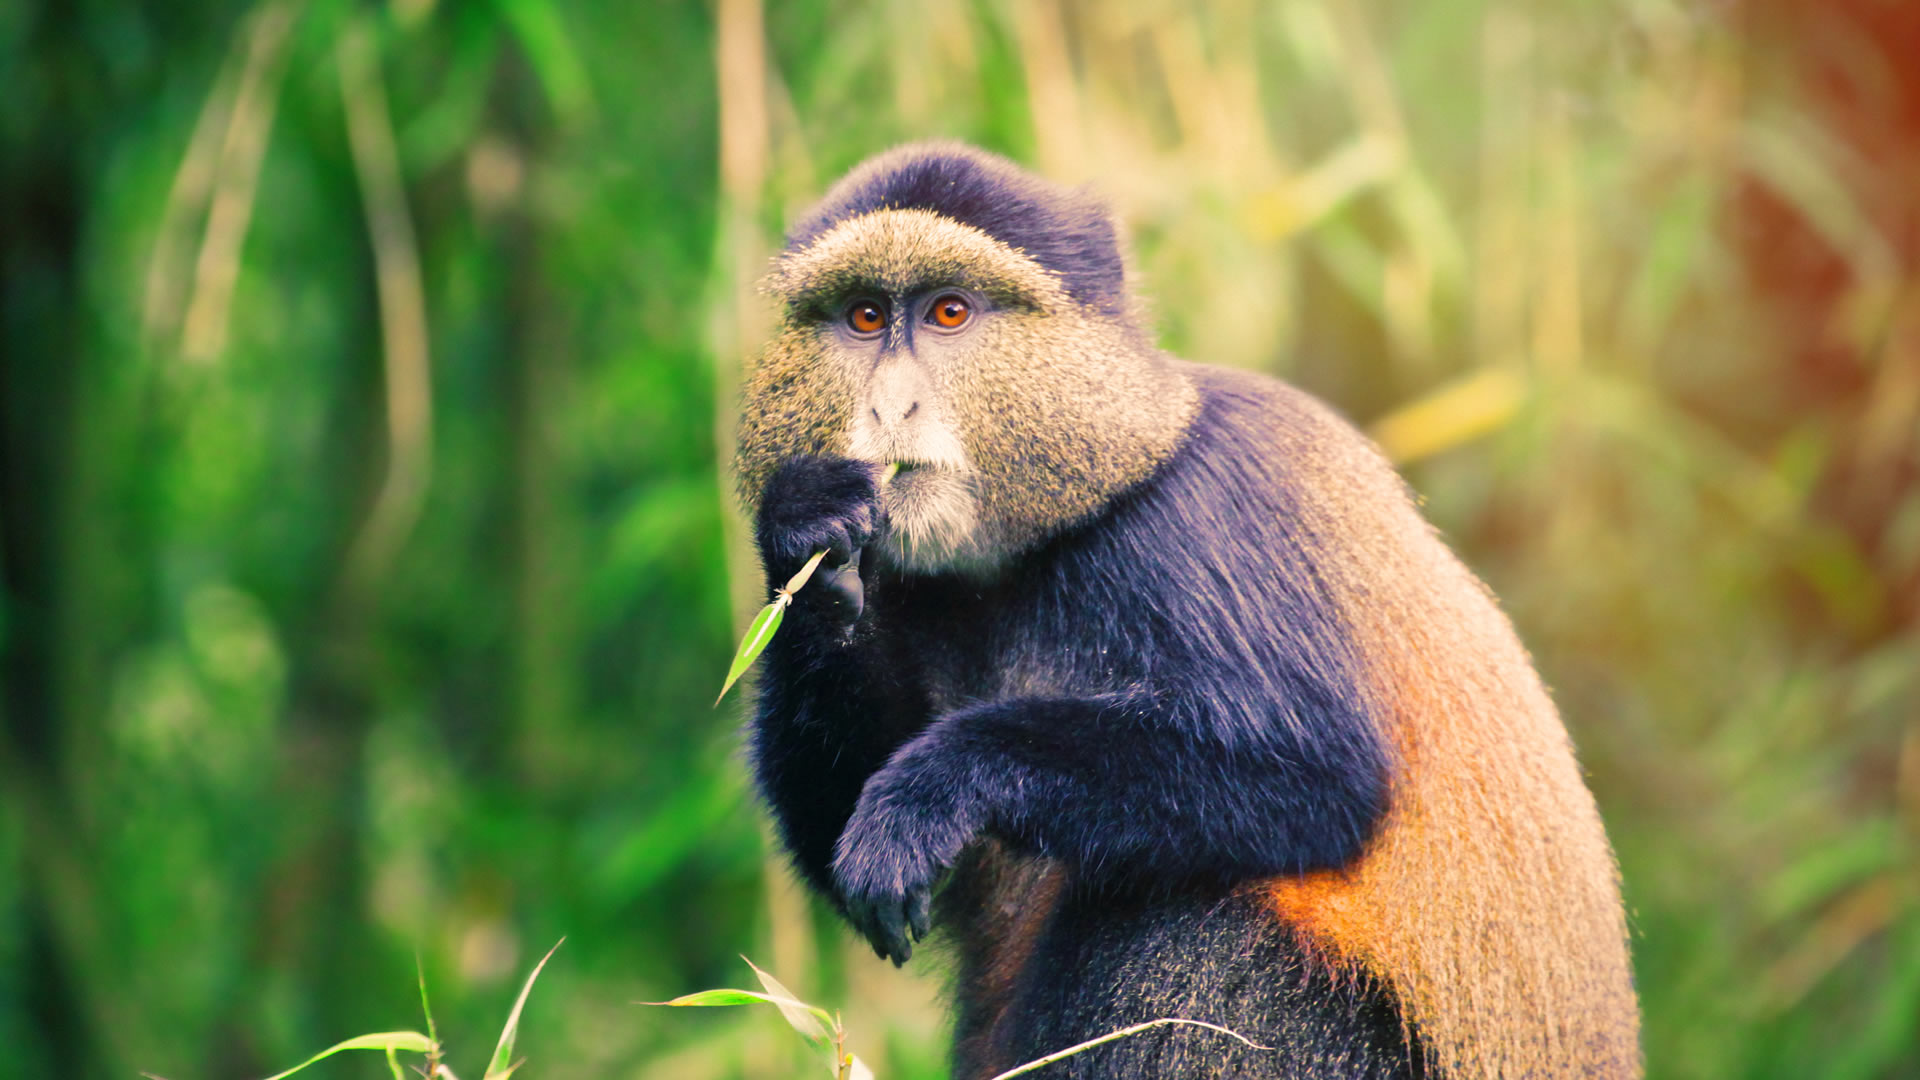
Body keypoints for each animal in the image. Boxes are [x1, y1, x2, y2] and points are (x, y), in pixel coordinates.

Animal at [733, 142, 1641, 1078]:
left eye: (949, 312)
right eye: (864, 317)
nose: (889, 407)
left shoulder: (1203, 516)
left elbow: (1316, 773)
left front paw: (932, 788)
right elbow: (834, 825)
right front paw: (804, 529)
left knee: (1181, 908)